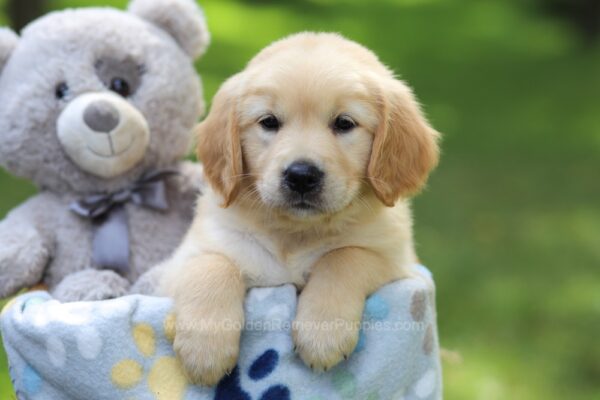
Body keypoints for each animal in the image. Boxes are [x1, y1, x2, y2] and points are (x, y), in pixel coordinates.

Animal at [159, 32, 440, 386]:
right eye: (268, 122)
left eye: (344, 123)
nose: (302, 175)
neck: (295, 233)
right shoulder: (182, 261)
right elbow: (211, 265)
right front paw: (205, 349)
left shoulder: (398, 263)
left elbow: (345, 257)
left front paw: (323, 334)